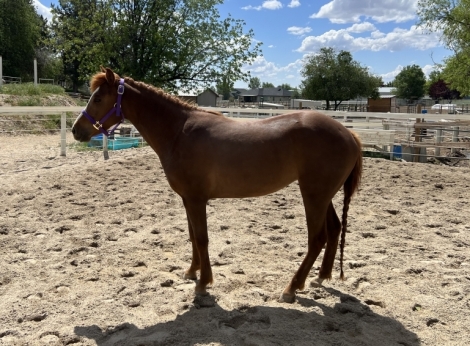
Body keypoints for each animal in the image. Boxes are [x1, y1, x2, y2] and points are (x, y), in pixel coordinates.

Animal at [71, 67, 362, 302]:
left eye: (98, 98)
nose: (76, 130)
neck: (179, 132)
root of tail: (349, 133)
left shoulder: (196, 199)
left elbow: (202, 239)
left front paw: (203, 284)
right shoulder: (187, 199)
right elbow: (192, 236)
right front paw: (192, 271)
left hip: (313, 195)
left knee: (317, 239)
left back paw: (291, 288)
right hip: (323, 195)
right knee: (334, 230)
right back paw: (321, 277)